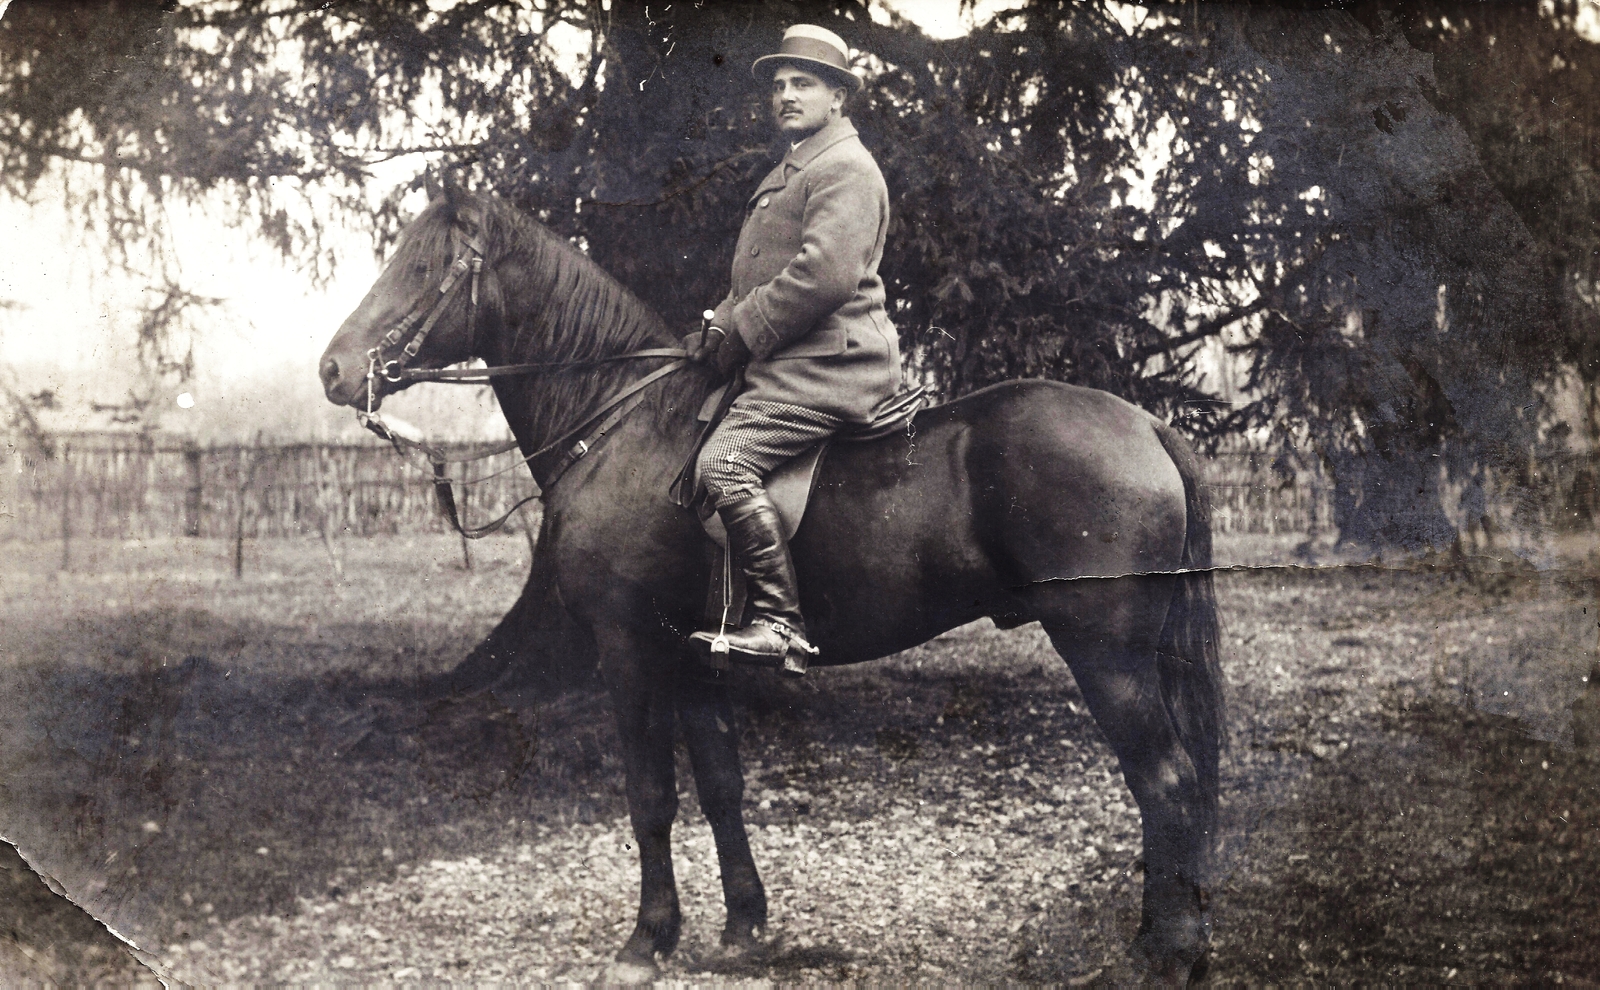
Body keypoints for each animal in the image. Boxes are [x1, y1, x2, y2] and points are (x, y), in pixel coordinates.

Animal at [319, 182, 1225, 984]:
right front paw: (743, 927)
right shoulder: (693, 659)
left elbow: (650, 795)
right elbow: (721, 787)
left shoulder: (628, 648)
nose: (332, 370)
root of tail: (1143, 422)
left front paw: (646, 941)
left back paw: (1166, 955)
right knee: (1171, 785)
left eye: (423, 264)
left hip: (1104, 652)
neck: (623, 419)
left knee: (1166, 781)